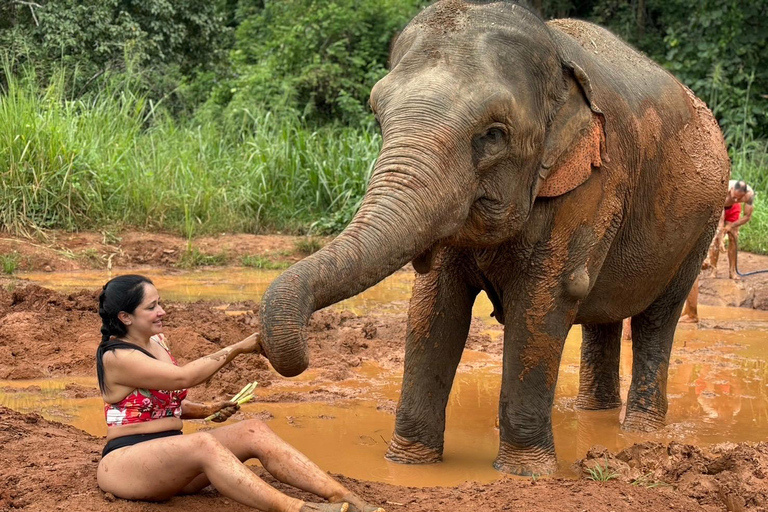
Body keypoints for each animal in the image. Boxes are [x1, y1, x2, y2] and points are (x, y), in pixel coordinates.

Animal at [256, 0, 728, 478]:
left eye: (494, 135)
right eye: (377, 116)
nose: (297, 355)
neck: (556, 56)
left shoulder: (594, 182)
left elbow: (546, 299)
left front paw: (527, 473)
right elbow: (434, 305)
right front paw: (408, 464)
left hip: (703, 221)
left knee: (657, 317)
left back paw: (640, 430)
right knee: (604, 316)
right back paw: (594, 414)